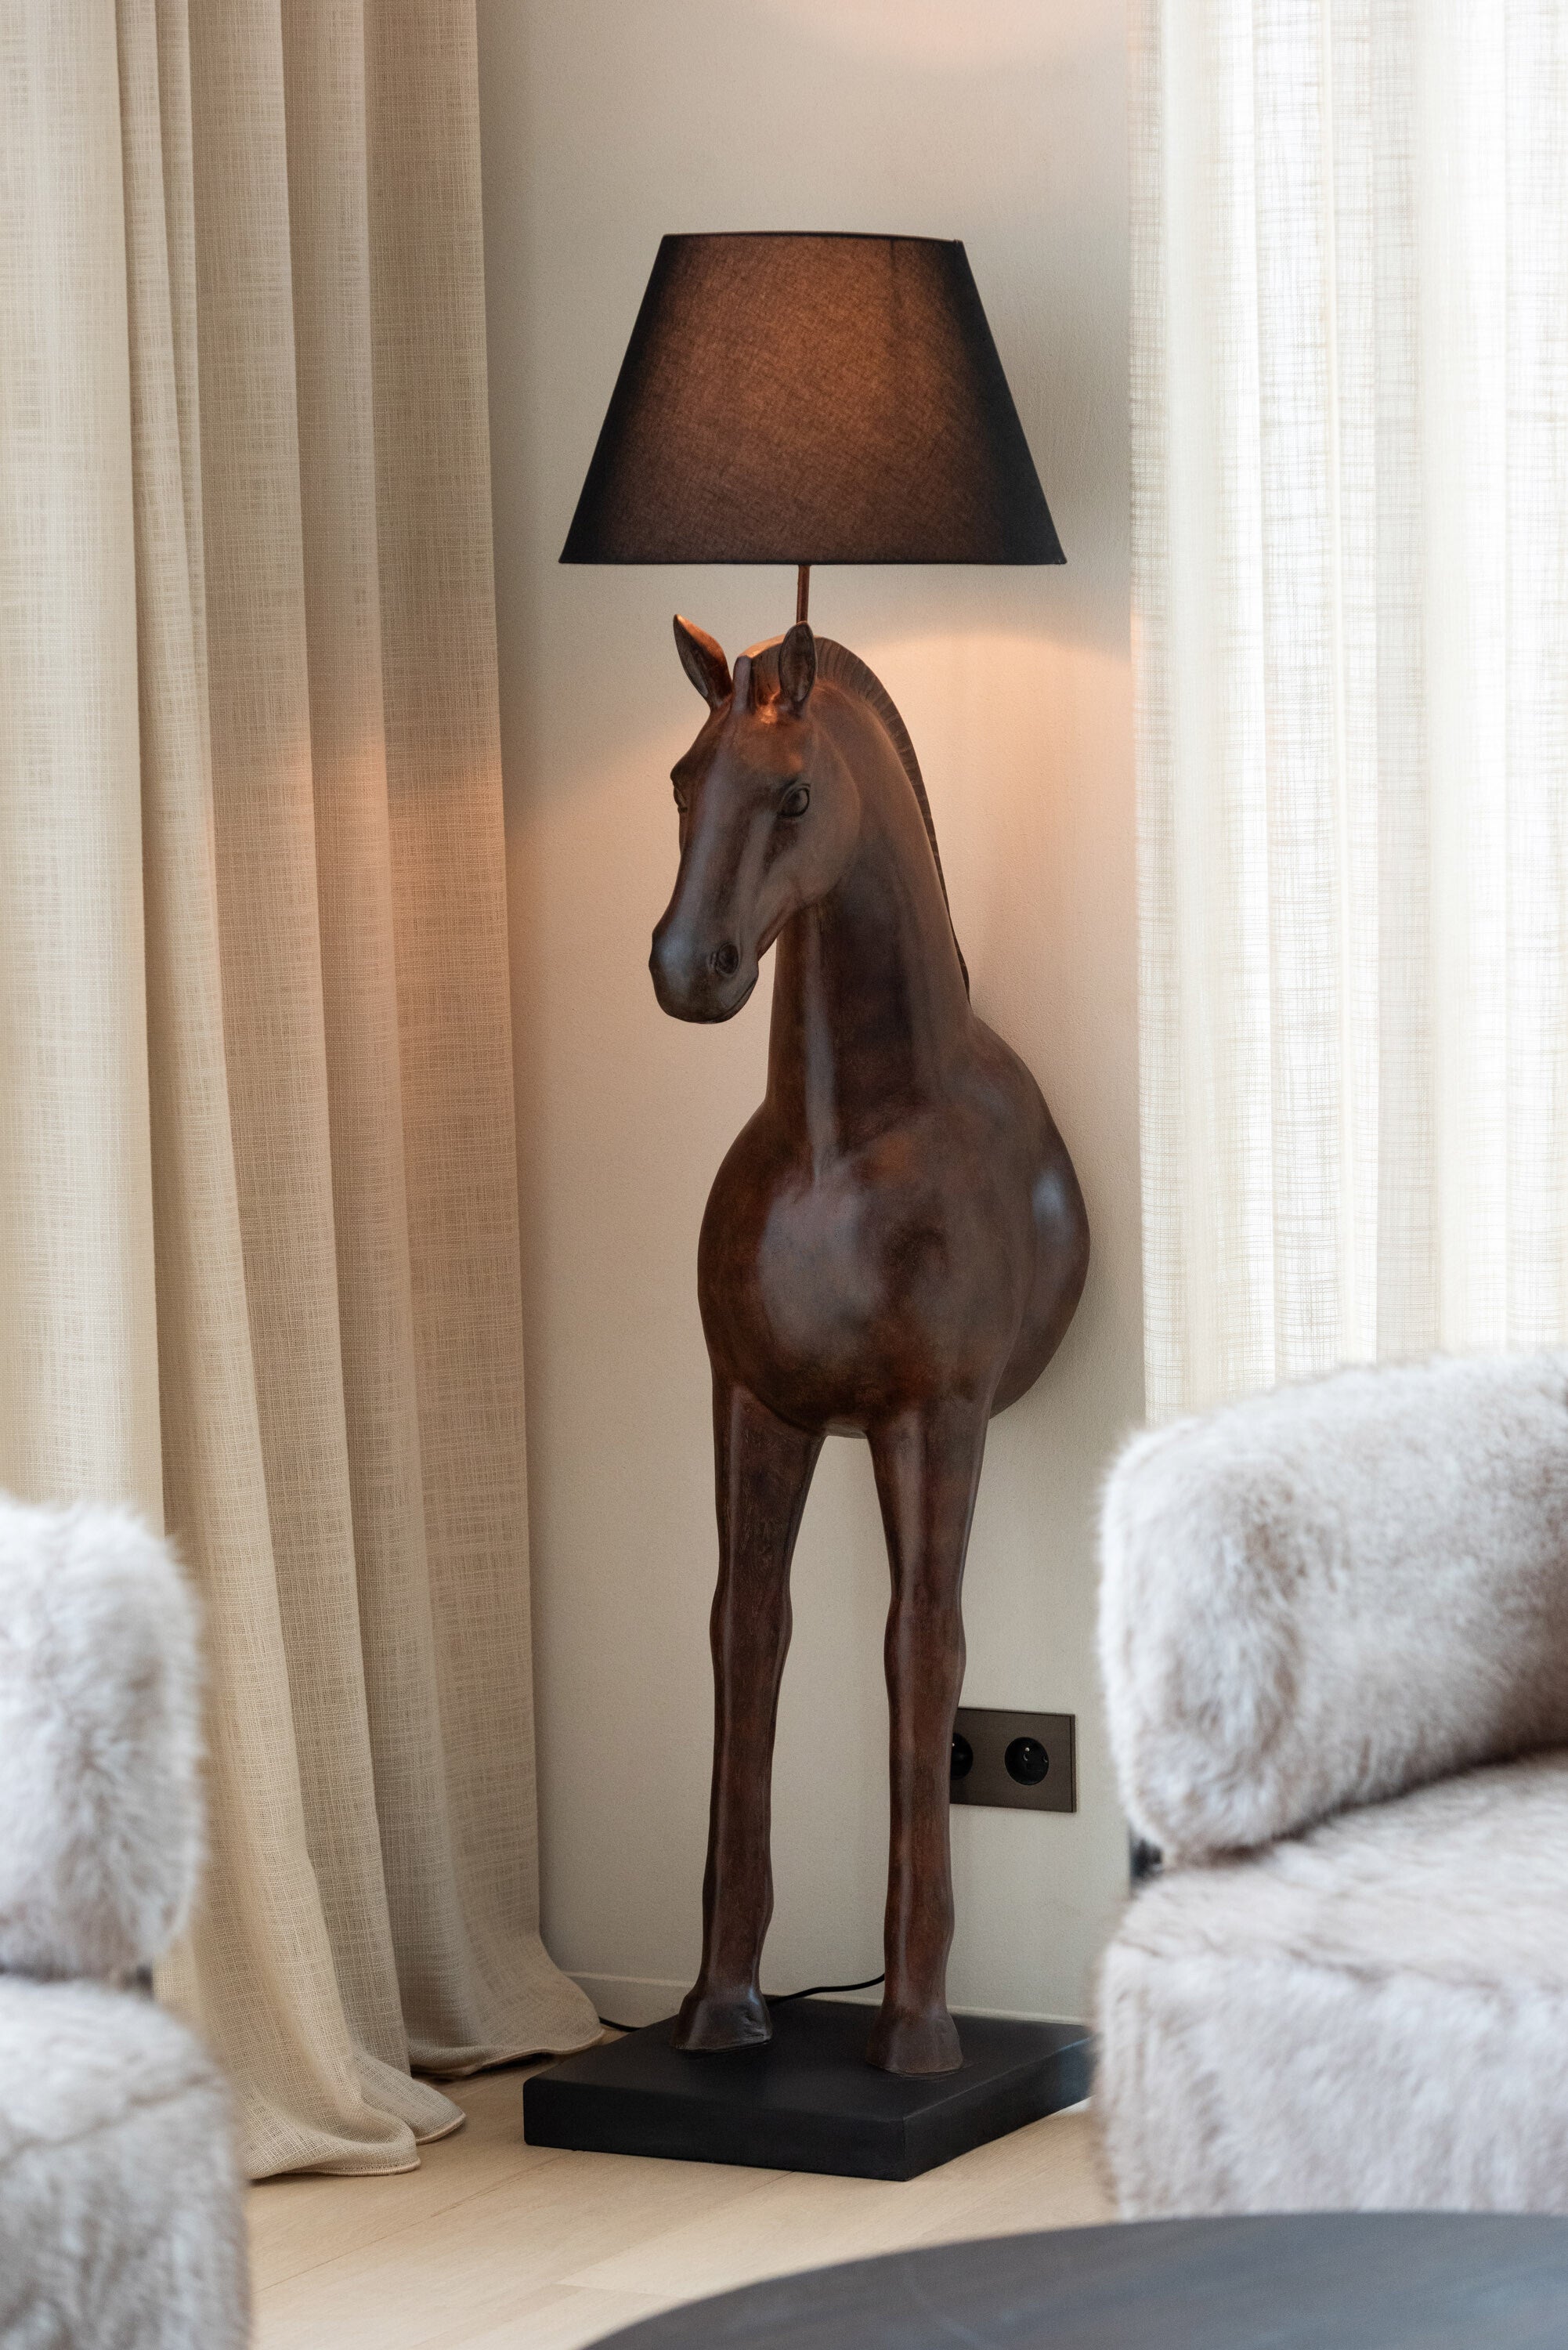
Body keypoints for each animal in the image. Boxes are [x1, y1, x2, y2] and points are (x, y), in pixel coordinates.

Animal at [650, 614, 1089, 2076]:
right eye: (682, 780)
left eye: (791, 795)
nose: (689, 969)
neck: (843, 1142)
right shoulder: (749, 1403)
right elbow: (747, 1636)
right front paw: (719, 2005)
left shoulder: (930, 1416)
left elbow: (922, 1650)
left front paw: (917, 2025)